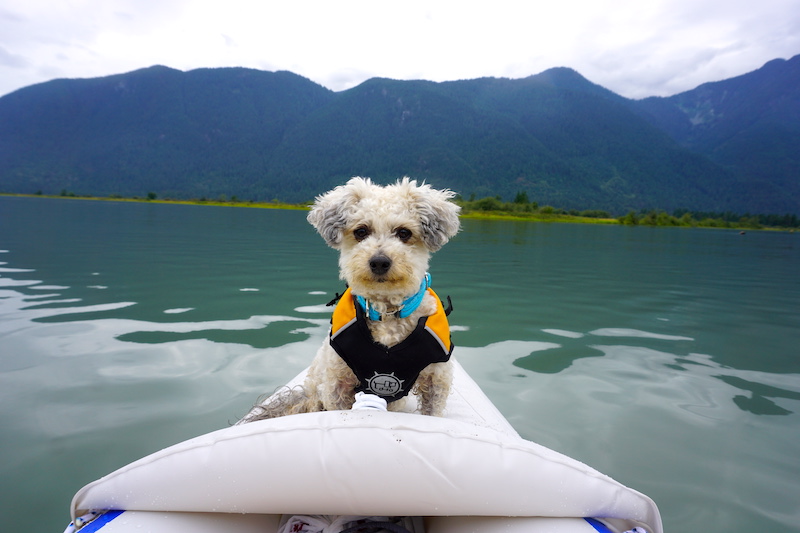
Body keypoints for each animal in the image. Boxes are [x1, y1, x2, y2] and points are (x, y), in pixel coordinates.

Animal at [250, 177, 462, 418]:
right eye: (361, 231)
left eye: (404, 233)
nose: (379, 262)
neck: (386, 312)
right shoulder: (337, 382)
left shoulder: (436, 378)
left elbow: (433, 410)